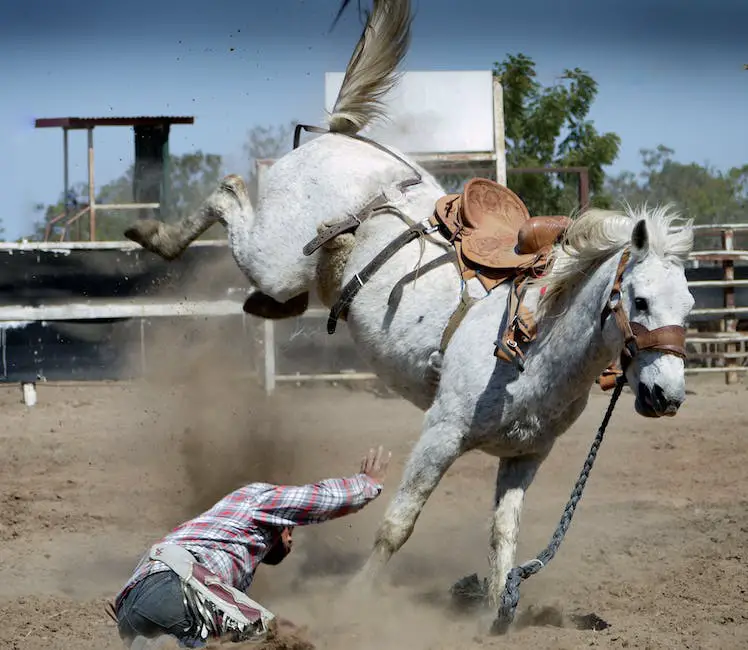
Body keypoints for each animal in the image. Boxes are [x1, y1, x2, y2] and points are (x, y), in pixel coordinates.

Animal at [127, 0, 696, 628]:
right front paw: (354, 601)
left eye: (691, 306)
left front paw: (494, 617)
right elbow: (398, 524)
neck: (536, 341)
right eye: (639, 300)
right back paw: (154, 234)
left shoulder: (525, 455)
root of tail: (338, 137)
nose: (667, 396)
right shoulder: (440, 434)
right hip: (273, 257)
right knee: (227, 193)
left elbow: (503, 538)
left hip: (294, 273)